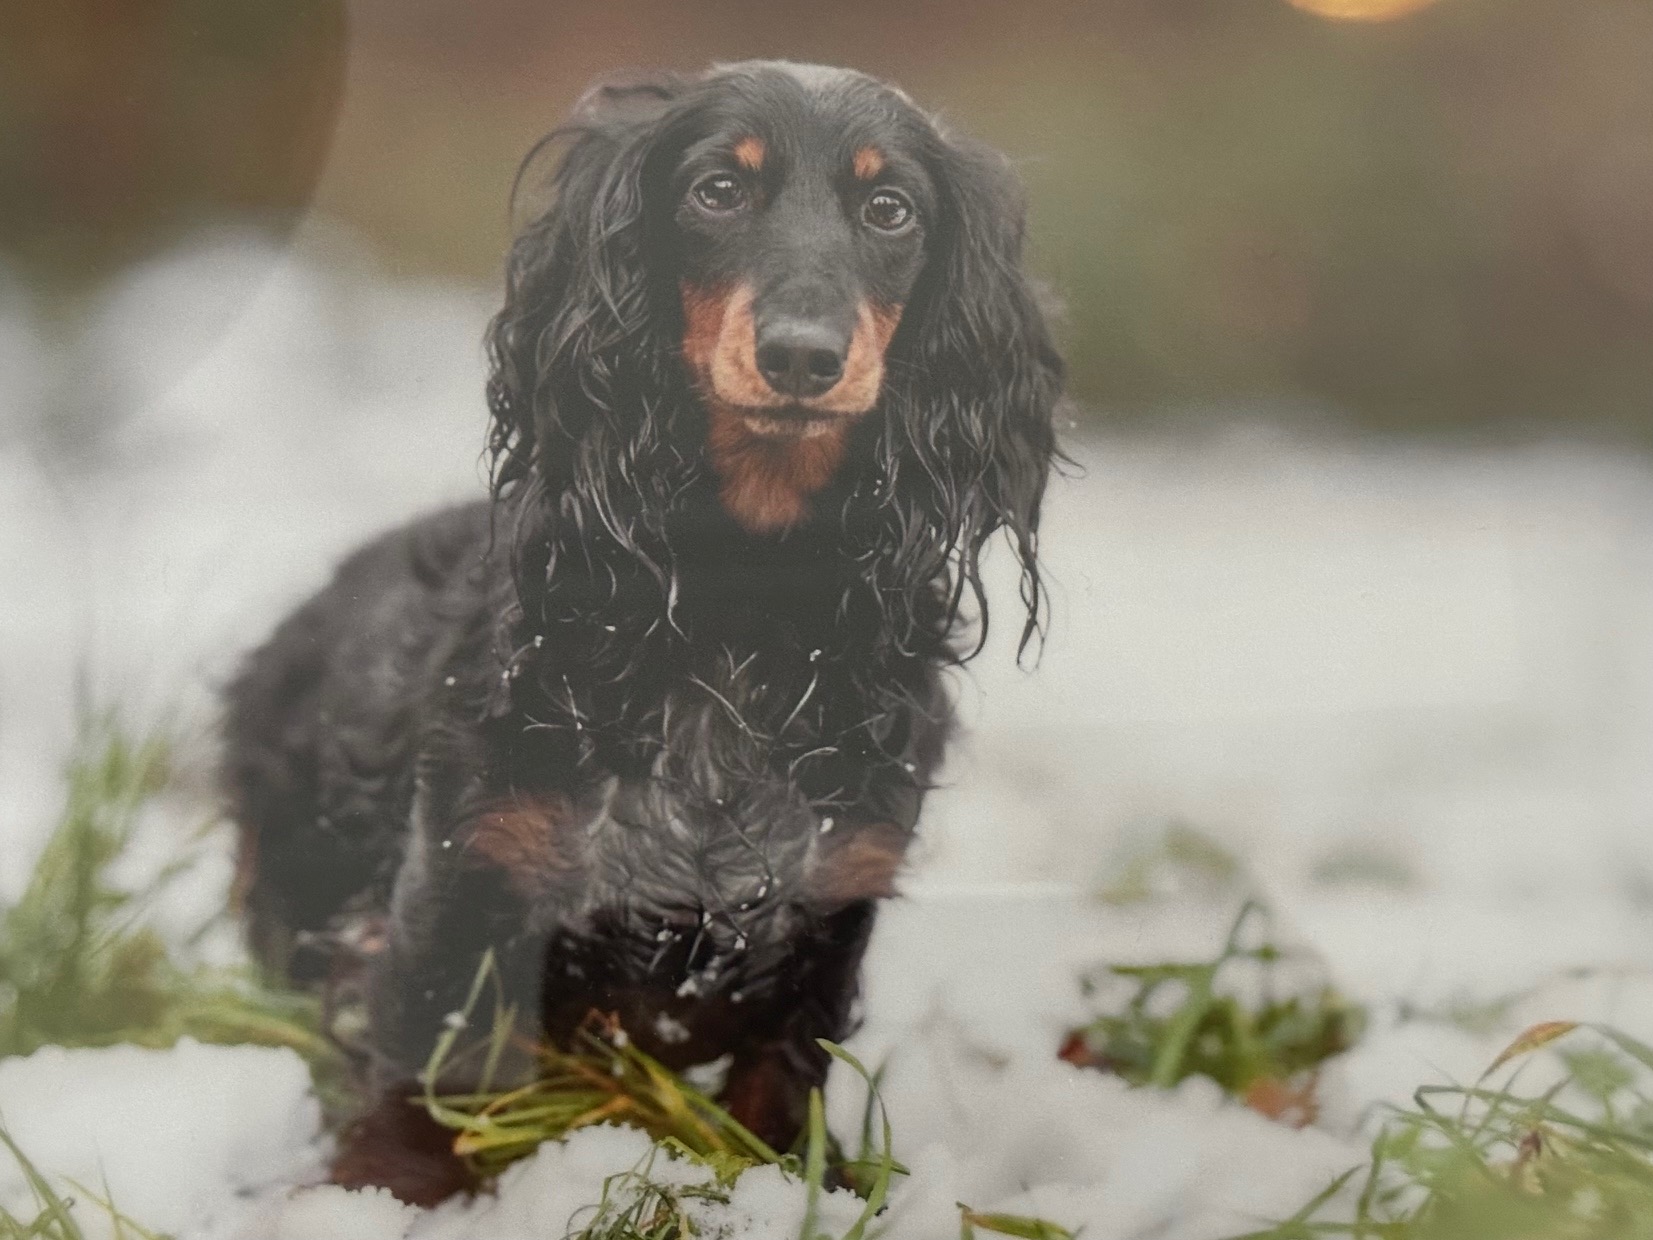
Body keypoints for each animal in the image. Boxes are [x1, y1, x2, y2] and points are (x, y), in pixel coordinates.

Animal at [219, 58, 1057, 1203]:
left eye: (891, 210)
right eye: (717, 190)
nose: (803, 357)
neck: (735, 608)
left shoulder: (827, 901)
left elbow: (781, 1077)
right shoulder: (468, 868)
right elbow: (427, 1062)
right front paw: (375, 1196)